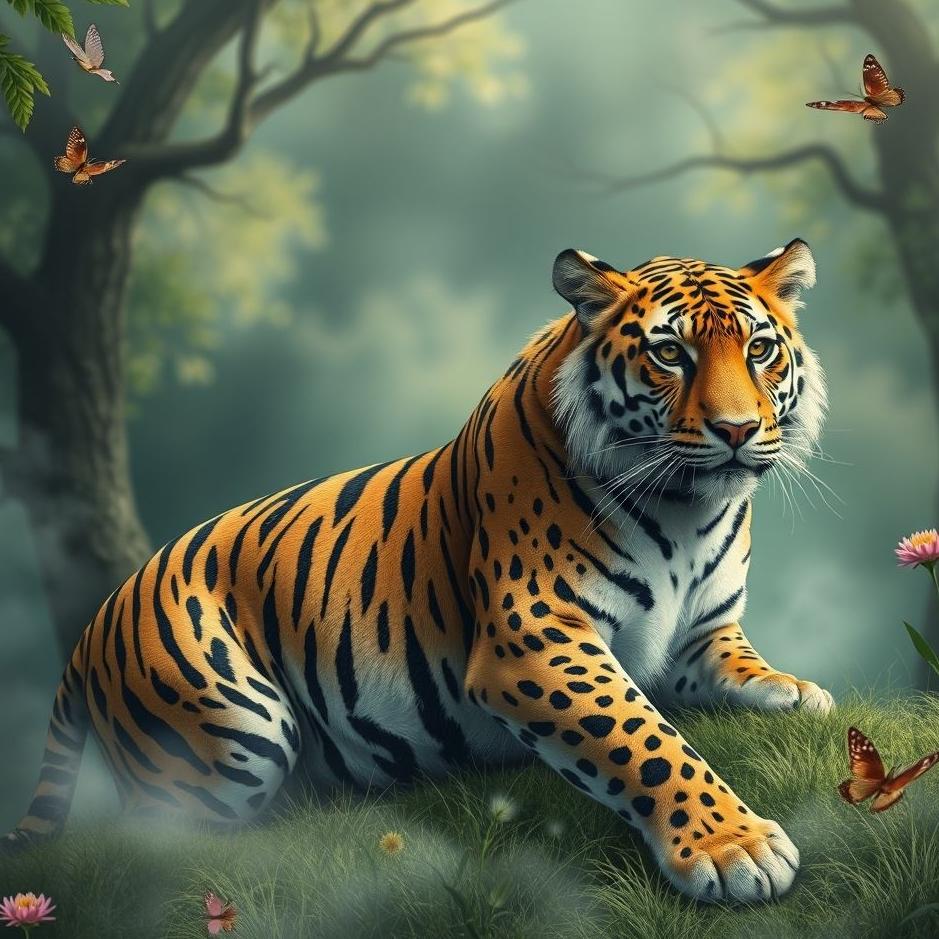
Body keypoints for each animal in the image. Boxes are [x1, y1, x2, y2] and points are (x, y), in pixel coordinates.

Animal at [4, 238, 834, 904]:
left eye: (758, 349)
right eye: (669, 354)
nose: (737, 430)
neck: (687, 515)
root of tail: (93, 625)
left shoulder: (701, 631)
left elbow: (736, 664)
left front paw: (793, 688)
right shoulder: (535, 638)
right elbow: (642, 740)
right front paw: (734, 846)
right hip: (234, 729)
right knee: (152, 842)